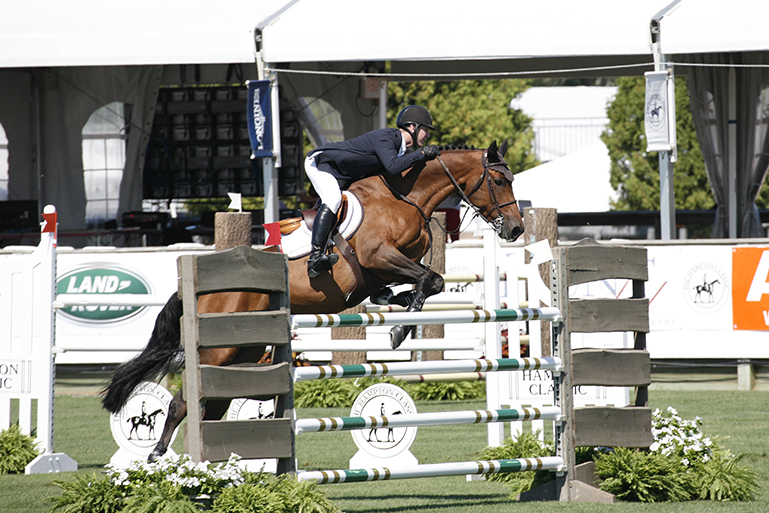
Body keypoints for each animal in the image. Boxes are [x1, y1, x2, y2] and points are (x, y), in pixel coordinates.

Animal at [102, 140, 520, 460]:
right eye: (500, 180)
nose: (516, 229)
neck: (408, 197)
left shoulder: (386, 268)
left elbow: (426, 282)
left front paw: (399, 305)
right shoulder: (377, 256)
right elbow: (429, 280)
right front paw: (400, 329)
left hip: (243, 350)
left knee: (214, 405)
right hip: (217, 352)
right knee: (182, 403)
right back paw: (159, 457)